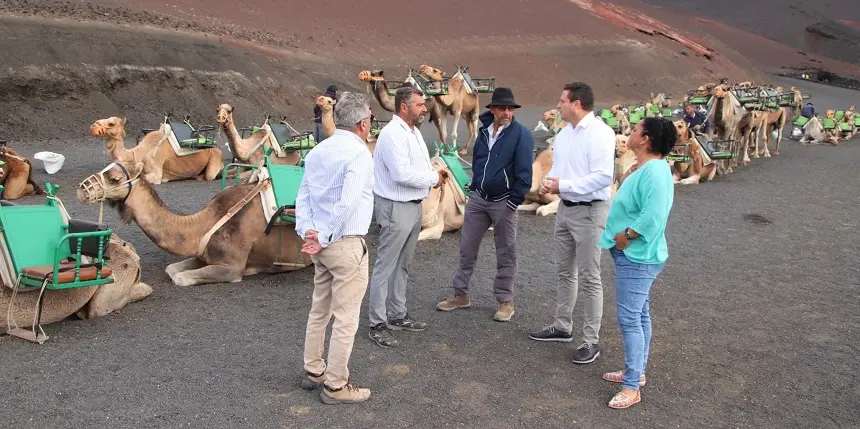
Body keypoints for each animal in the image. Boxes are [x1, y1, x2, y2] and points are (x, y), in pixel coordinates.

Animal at [76, 160, 312, 288]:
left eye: (115, 178)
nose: (81, 188)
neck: (203, 224)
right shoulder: (203, 254)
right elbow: (172, 269)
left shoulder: (232, 267)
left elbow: (180, 278)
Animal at [90, 117, 223, 184]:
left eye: (111, 123)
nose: (93, 126)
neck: (137, 154)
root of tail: (218, 149)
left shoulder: (156, 172)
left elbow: (141, 178)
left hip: (214, 159)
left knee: (211, 175)